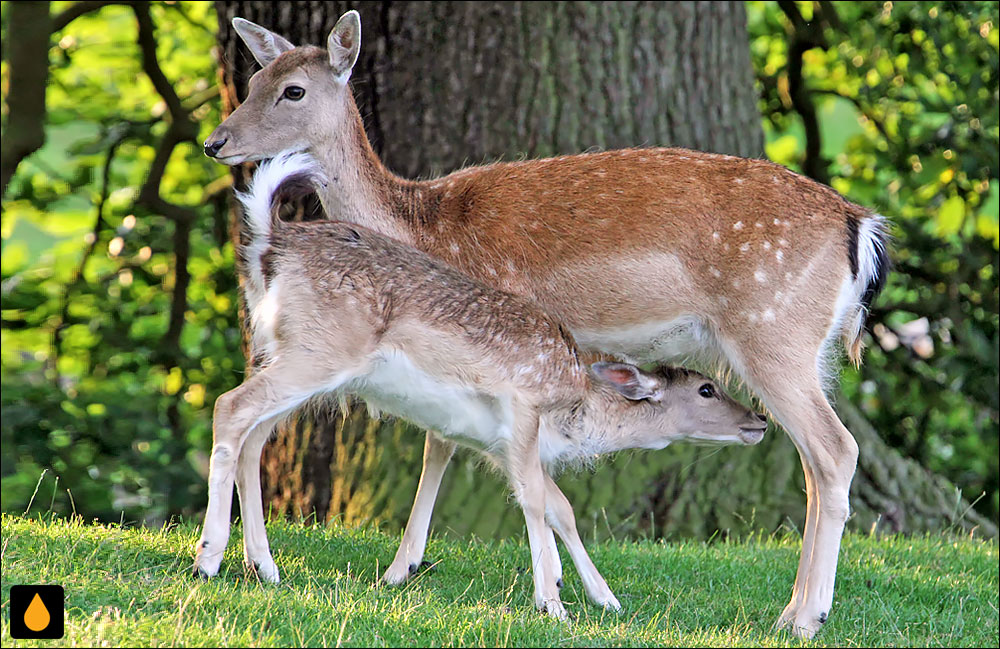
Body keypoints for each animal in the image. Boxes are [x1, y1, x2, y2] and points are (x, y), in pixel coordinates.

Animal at [205, 10, 892, 636]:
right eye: (255, 77)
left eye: (293, 90)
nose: (216, 142)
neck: (421, 225)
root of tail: (860, 227)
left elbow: (443, 444)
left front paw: (405, 569)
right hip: (807, 351)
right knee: (814, 461)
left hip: (771, 331)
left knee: (836, 450)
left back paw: (805, 617)